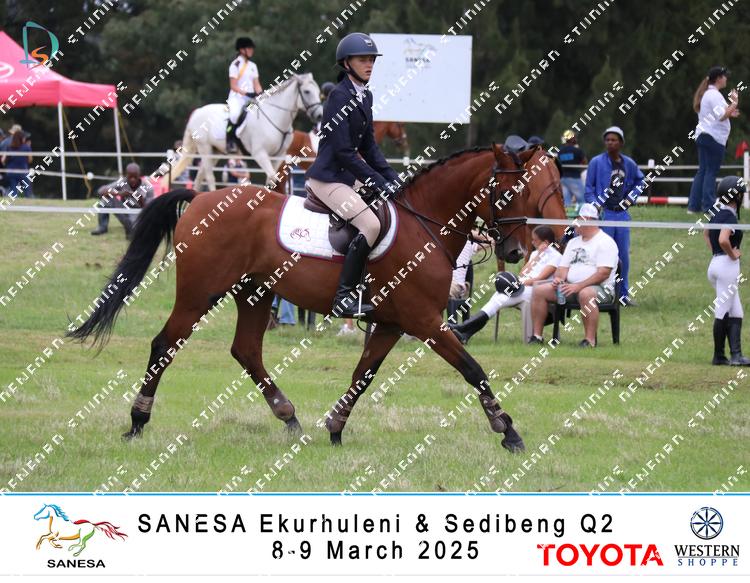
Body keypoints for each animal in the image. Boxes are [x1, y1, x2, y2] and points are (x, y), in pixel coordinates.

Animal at [67, 144, 539, 453]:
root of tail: (201, 197)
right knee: (165, 345)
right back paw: (137, 421)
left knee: (246, 351)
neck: (425, 226)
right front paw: (507, 430)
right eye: (508, 193)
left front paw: (334, 428)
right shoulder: (424, 321)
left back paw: (288, 416)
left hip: (255, 293)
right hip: (199, 294)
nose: (516, 252)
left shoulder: (391, 323)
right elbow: (472, 368)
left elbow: (362, 375)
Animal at [166, 73, 323, 192]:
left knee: (200, 176)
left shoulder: (278, 156)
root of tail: (197, 111)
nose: (319, 115)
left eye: (318, 92)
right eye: (307, 91)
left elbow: (272, 180)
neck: (275, 118)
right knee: (209, 177)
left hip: (215, 151)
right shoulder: (260, 154)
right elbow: (272, 178)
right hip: (205, 148)